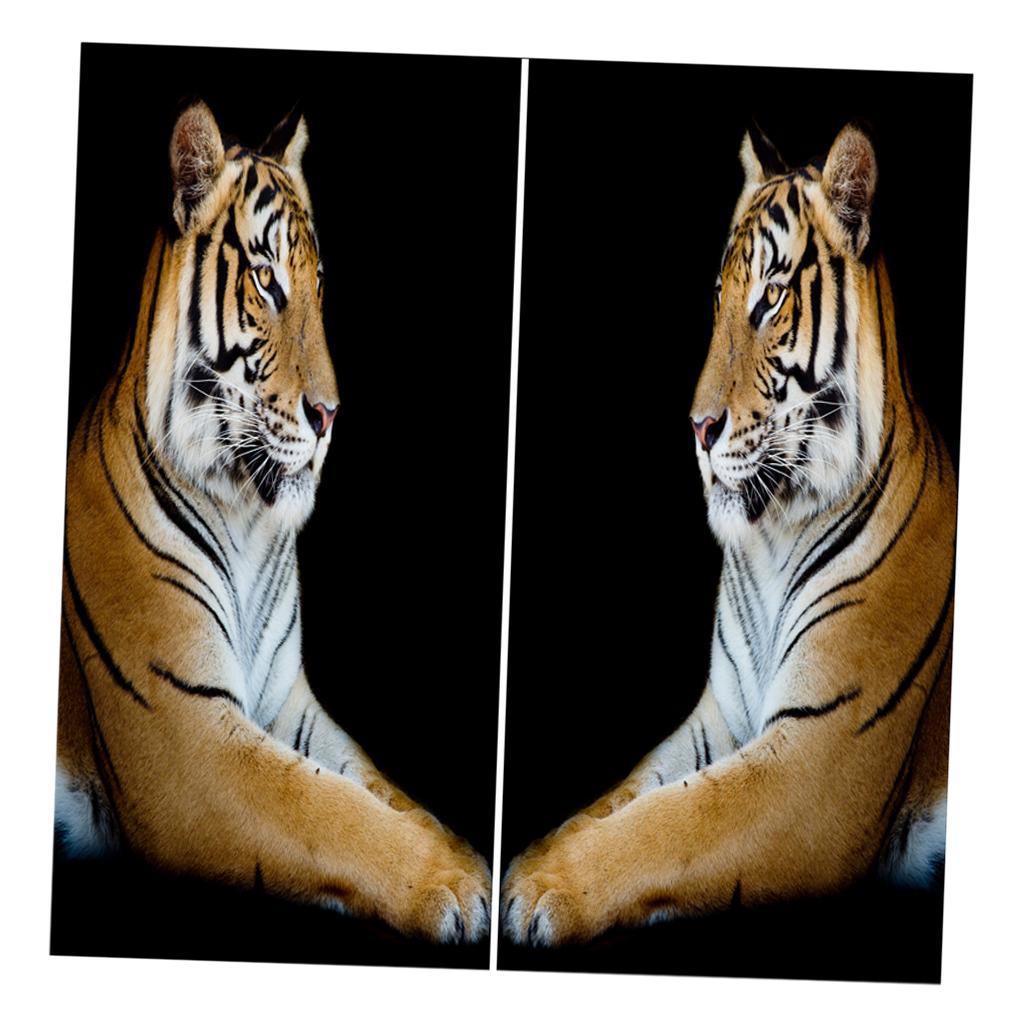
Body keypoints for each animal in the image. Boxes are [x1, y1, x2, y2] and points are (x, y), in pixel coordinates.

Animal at [55, 100, 491, 944]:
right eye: (266, 281)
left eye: (319, 286)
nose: (330, 416)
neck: (247, 519)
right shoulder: (188, 739)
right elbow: (328, 811)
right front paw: (457, 884)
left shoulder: (291, 704)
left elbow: (379, 792)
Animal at [501, 122, 956, 946]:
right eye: (718, 299)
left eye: (770, 299)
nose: (697, 428)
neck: (775, 534)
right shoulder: (719, 719)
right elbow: (625, 797)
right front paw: (530, 857)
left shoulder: (815, 762)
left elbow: (673, 822)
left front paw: (540, 886)